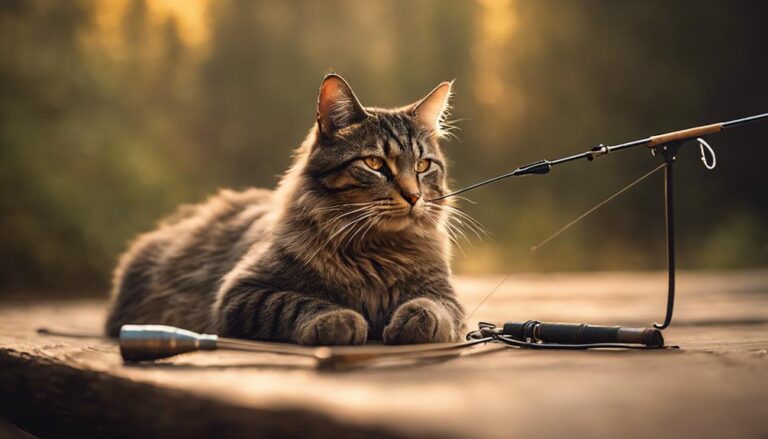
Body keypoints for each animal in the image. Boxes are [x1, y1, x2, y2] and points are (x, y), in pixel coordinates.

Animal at [105, 74, 464, 346]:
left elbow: (434, 307)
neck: (376, 250)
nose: (414, 196)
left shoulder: (442, 292)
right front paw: (339, 319)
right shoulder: (242, 293)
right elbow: (298, 303)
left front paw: (417, 321)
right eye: (375, 163)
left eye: (422, 166)